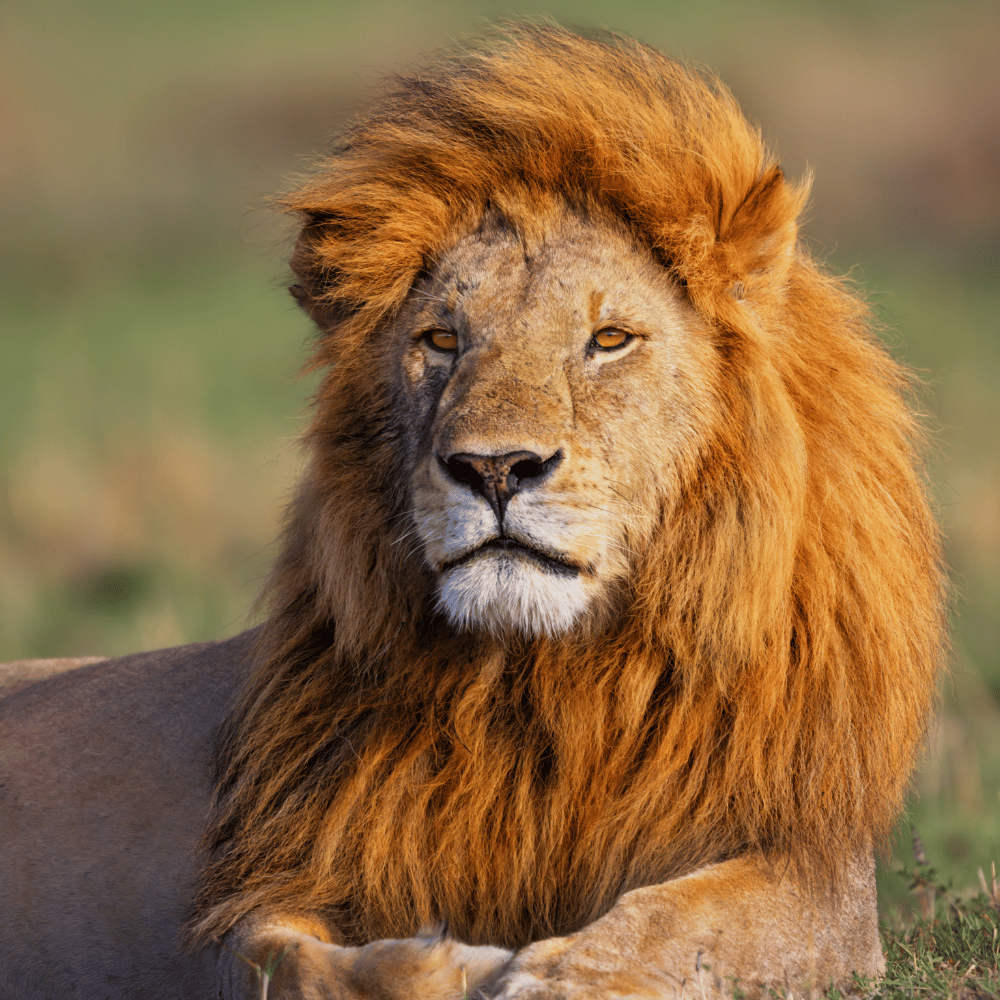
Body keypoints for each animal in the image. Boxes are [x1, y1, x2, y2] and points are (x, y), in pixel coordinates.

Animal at [0, 23, 945, 1000]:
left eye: (609, 339)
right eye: (442, 340)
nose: (494, 468)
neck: (545, 683)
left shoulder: (815, 877)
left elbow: (679, 923)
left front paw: (553, 977)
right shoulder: (258, 891)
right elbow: (298, 964)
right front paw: (456, 964)